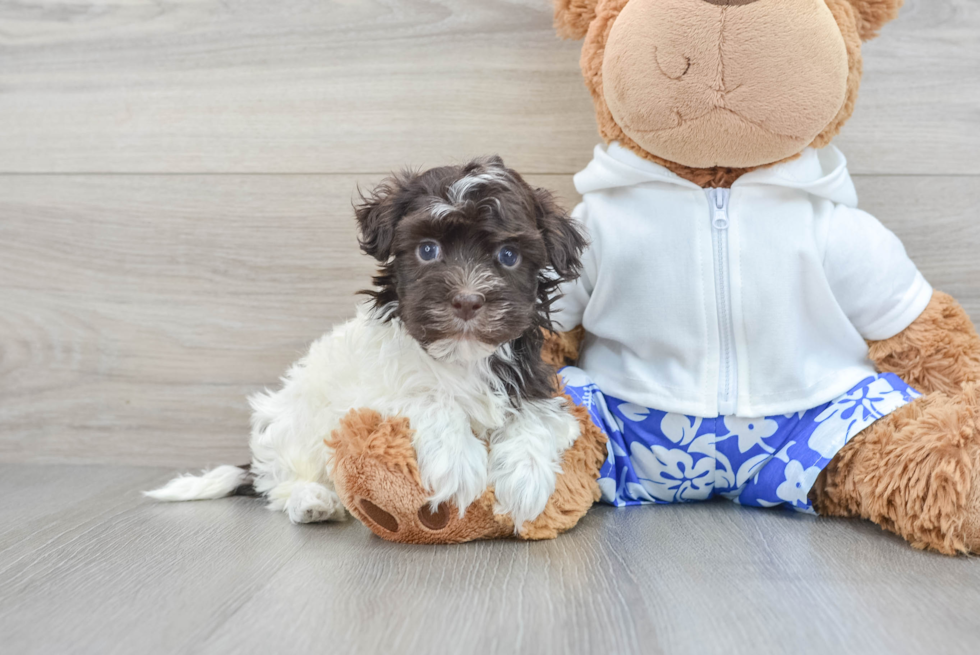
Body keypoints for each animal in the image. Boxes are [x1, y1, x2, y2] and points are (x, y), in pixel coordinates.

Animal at [145, 156, 584, 532]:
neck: (461, 356)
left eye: (509, 255)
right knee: (282, 483)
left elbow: (536, 417)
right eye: (428, 250)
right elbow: (428, 396)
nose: (467, 300)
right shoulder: (368, 396)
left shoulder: (531, 380)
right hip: (291, 424)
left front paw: (526, 479)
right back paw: (313, 501)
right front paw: (458, 464)